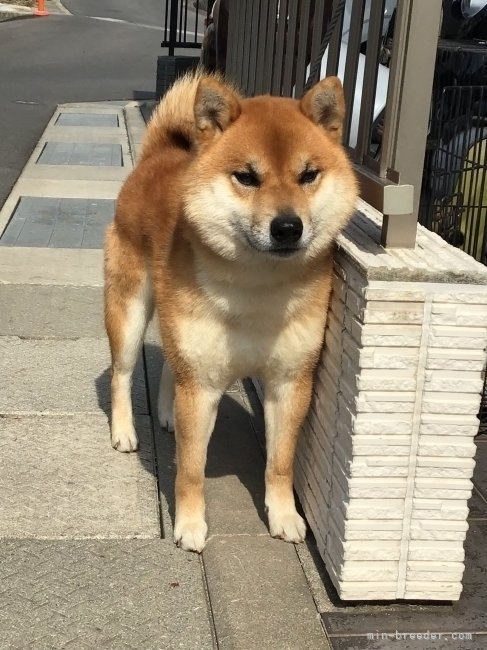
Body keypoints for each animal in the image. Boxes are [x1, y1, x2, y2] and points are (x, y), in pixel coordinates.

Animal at [105, 69, 356, 548]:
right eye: (247, 177)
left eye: (308, 175)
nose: (287, 226)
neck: (256, 289)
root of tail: (158, 156)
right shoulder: (201, 384)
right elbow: (190, 469)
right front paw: (188, 524)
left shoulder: (290, 382)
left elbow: (279, 463)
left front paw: (284, 515)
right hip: (128, 310)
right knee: (122, 374)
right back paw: (124, 431)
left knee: (170, 365)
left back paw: (166, 412)